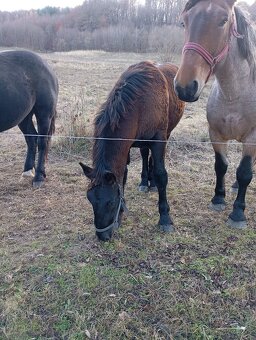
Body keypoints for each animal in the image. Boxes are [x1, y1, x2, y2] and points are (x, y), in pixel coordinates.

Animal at [0, 49, 58, 189]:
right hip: (24, 117)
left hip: (44, 115)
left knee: (42, 142)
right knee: (32, 139)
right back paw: (27, 172)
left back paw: (38, 177)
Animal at [79, 61, 184, 242]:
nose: (102, 236)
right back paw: (145, 182)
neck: (141, 104)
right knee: (145, 155)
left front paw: (165, 218)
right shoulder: (127, 145)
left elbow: (161, 175)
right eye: (89, 199)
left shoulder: (159, 140)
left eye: (110, 203)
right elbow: (124, 175)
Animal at [174, 0, 256, 230]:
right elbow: (221, 166)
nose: (185, 87)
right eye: (184, 22)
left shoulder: (252, 139)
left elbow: (245, 172)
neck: (233, 95)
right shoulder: (216, 135)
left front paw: (238, 213)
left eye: (223, 21)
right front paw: (218, 198)